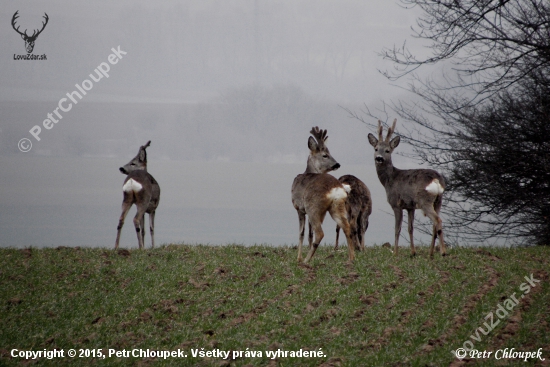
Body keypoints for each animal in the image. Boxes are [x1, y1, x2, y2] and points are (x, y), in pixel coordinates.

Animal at [294, 127, 358, 264]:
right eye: (325, 155)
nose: (337, 164)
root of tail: (336, 188)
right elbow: (309, 234)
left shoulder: (299, 207)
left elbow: (302, 233)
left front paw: (299, 258)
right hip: (337, 207)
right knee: (347, 227)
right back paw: (351, 258)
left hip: (313, 207)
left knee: (320, 233)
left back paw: (306, 260)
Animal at [366, 119, 448, 258]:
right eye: (376, 149)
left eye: (387, 150)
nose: (379, 158)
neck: (389, 180)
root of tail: (436, 179)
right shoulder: (410, 207)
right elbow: (410, 228)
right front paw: (413, 252)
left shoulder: (396, 204)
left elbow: (397, 228)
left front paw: (395, 252)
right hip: (438, 200)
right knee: (434, 223)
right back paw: (431, 253)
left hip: (425, 200)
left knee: (438, 219)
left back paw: (443, 252)